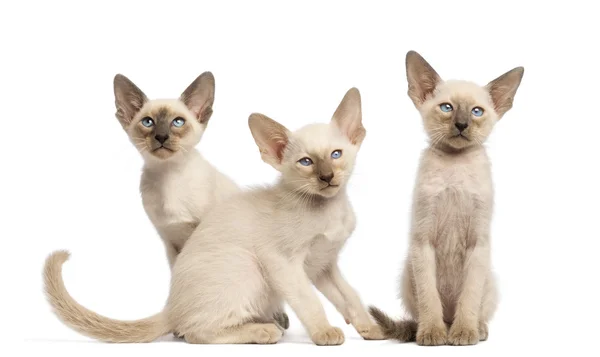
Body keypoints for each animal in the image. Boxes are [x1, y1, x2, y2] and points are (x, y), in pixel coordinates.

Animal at [45, 87, 384, 344]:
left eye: (336, 155)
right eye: (306, 162)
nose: (327, 177)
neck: (329, 209)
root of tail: (171, 304)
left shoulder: (324, 265)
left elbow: (349, 297)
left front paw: (371, 329)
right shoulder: (284, 263)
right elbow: (309, 301)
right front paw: (325, 333)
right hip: (249, 268)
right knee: (196, 332)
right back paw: (263, 331)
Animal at [368, 50, 524, 344]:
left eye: (476, 112)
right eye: (447, 108)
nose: (461, 124)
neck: (456, 167)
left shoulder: (478, 244)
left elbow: (469, 298)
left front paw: (464, 333)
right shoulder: (423, 240)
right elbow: (430, 298)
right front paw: (431, 333)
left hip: (490, 279)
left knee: (475, 311)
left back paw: (474, 329)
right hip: (408, 271)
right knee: (428, 313)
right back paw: (433, 328)